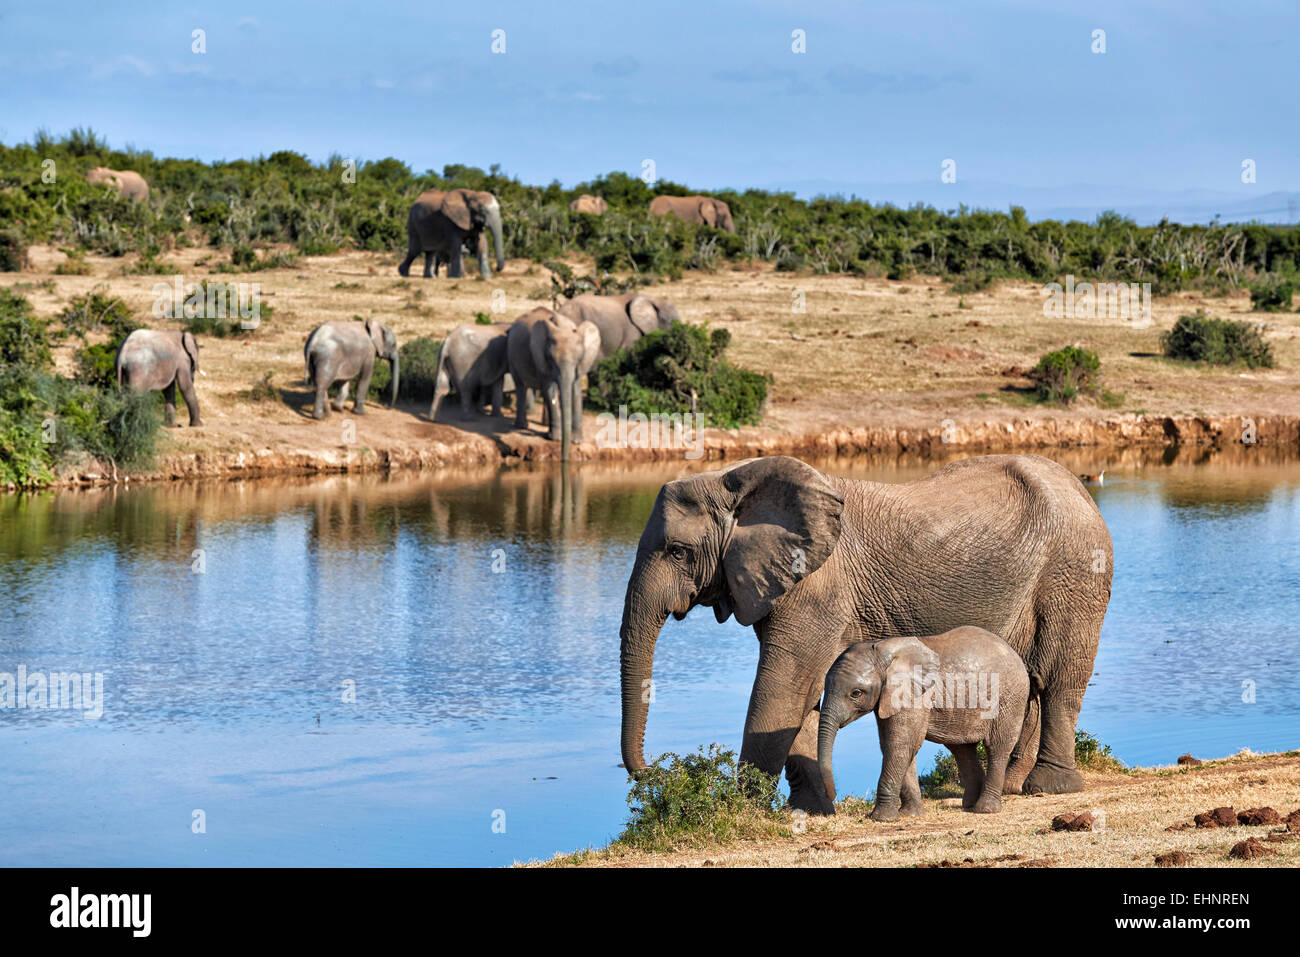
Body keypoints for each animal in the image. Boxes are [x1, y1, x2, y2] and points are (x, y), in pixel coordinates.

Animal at [509, 304, 605, 457]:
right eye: (551, 359)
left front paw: (576, 441)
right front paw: (555, 438)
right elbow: (549, 389)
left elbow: (575, 391)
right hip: (511, 355)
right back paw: (522, 426)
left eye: (579, 358)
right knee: (520, 386)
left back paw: (543, 426)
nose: (565, 458)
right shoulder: (540, 357)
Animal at [816, 629, 1029, 821]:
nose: (833, 797)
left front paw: (882, 818)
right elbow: (896, 746)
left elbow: (900, 745)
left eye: (856, 693)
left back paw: (984, 810)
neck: (883, 651)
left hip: (1010, 698)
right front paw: (909, 815)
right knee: (962, 749)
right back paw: (969, 806)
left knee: (997, 747)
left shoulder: (914, 696)